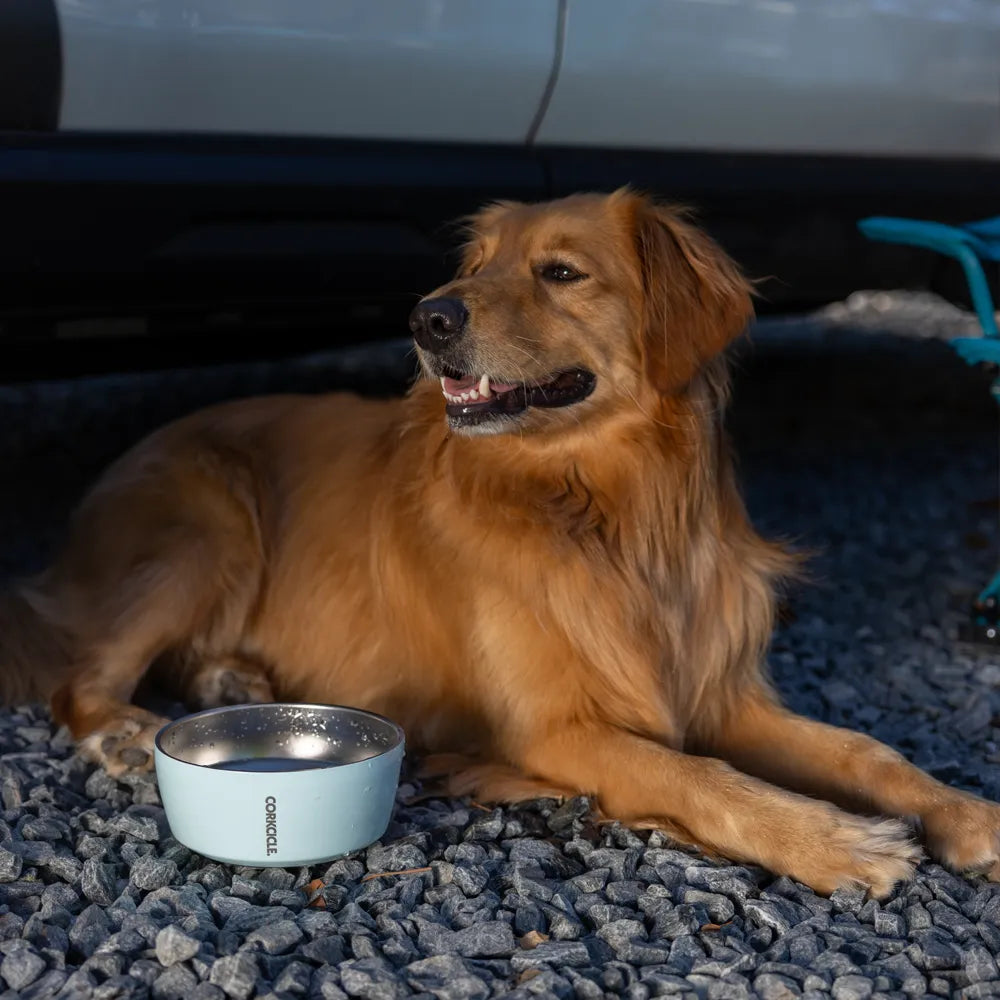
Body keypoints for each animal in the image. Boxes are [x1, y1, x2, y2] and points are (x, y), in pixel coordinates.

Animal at [1, 191, 1000, 896]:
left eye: (560, 272)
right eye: (474, 265)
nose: (427, 318)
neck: (609, 511)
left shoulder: (718, 693)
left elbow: (867, 752)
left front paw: (964, 814)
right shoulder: (553, 726)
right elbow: (700, 777)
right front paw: (835, 840)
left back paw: (230, 681)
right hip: (211, 521)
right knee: (77, 679)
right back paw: (127, 733)